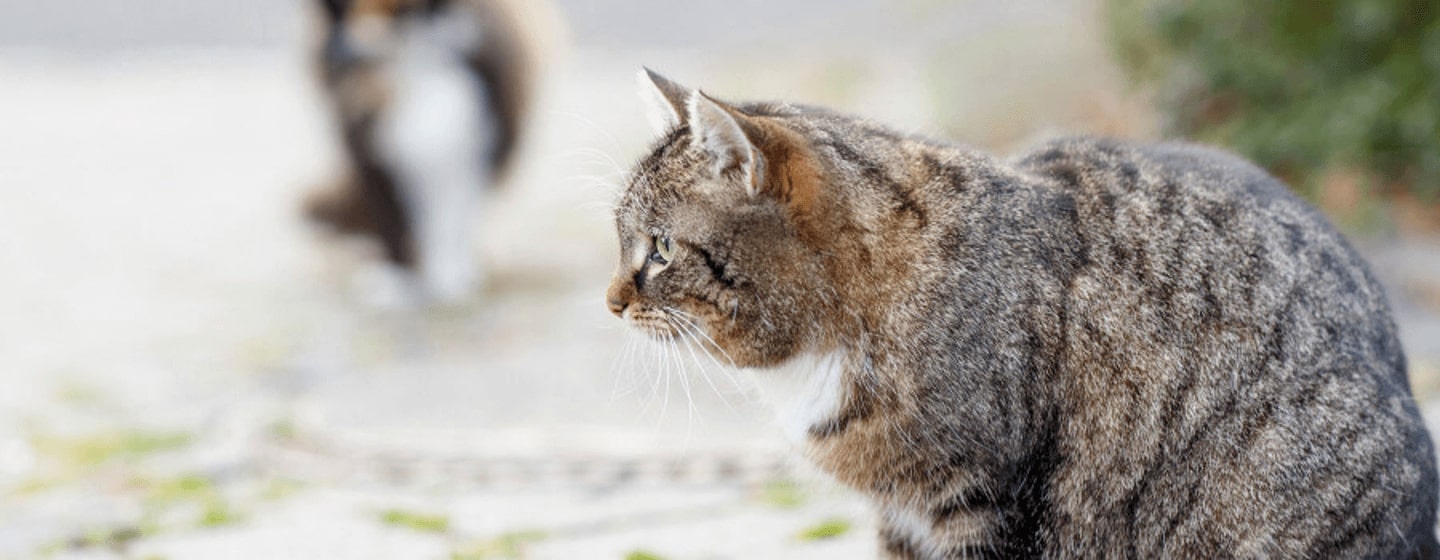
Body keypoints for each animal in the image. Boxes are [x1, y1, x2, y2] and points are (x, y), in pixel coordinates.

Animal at [299, 0, 541, 300]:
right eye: (347, 7)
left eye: (396, 10)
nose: (353, 52)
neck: (413, 67)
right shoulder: (372, 156)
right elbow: (392, 222)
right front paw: (398, 279)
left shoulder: (469, 149)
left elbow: (452, 220)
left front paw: (449, 280)